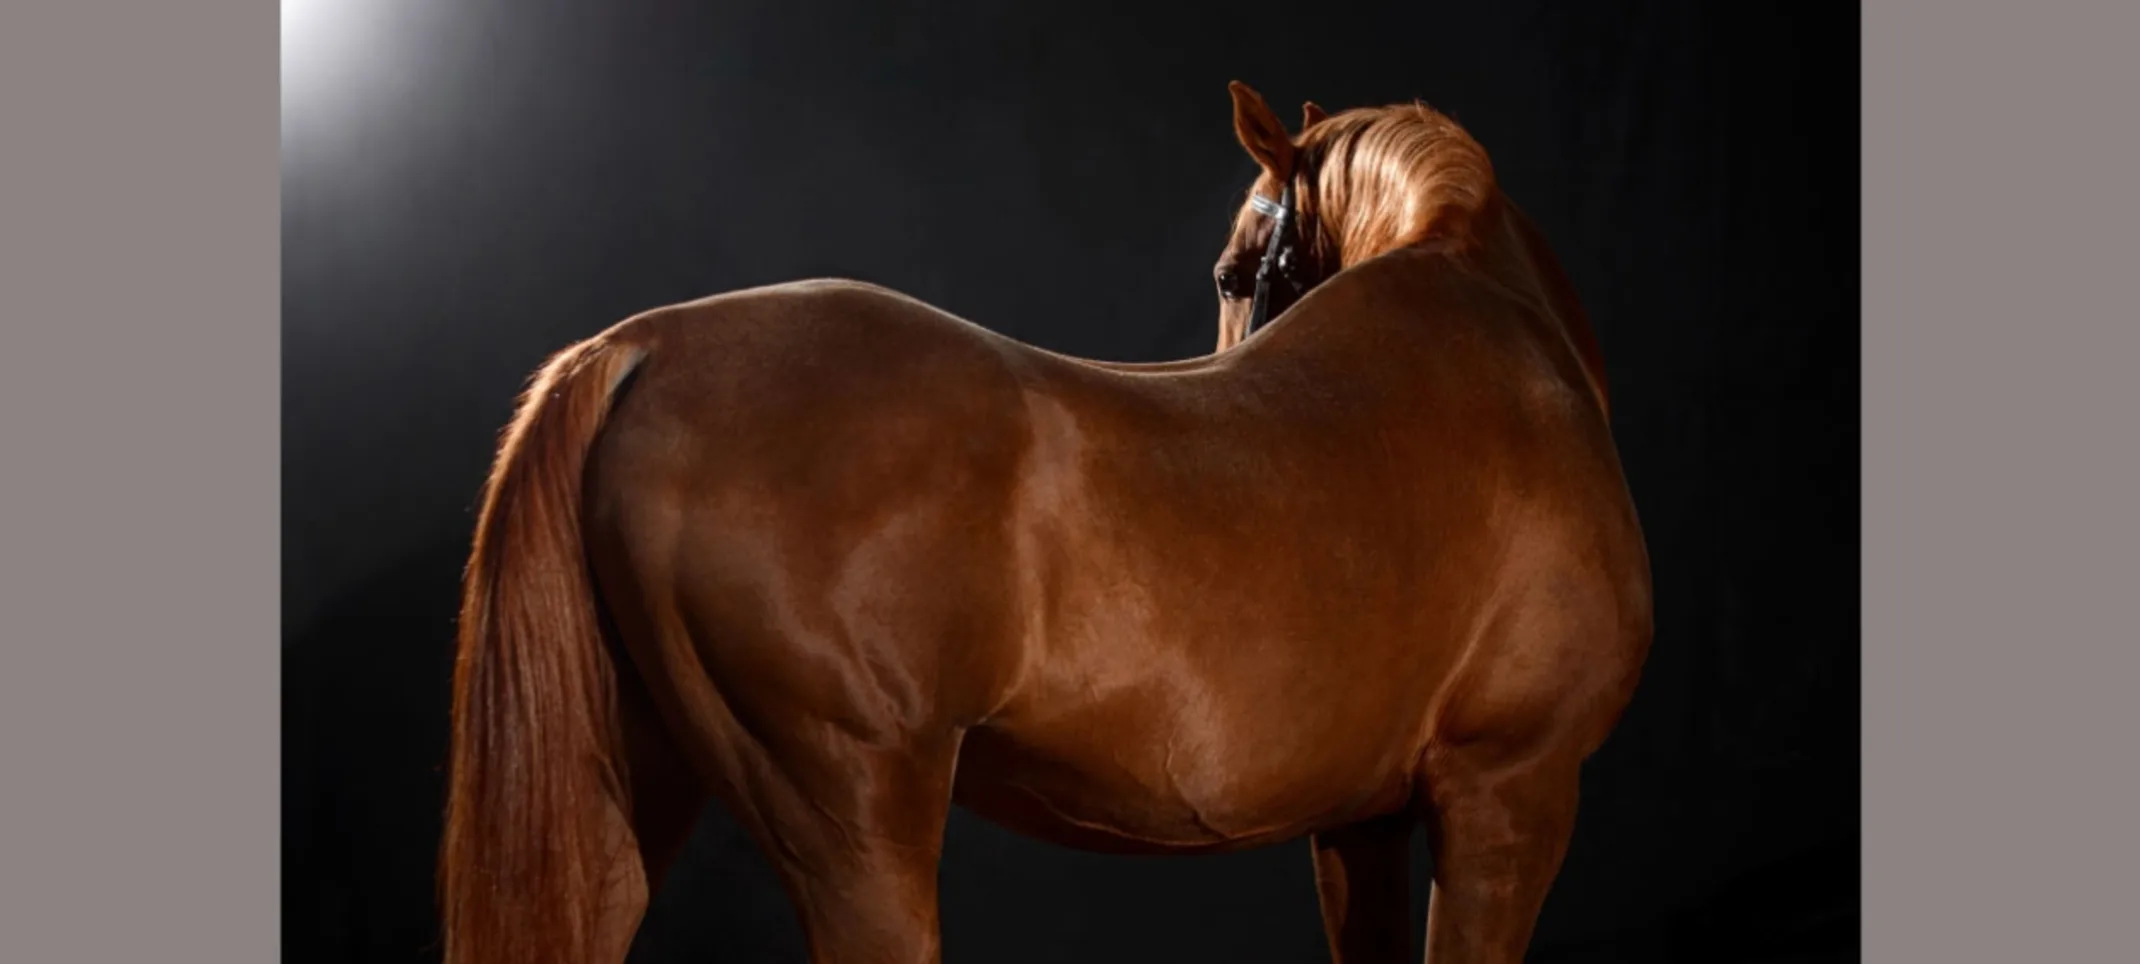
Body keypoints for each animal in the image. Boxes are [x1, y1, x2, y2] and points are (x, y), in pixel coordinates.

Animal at [438, 80, 1652, 964]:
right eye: (1229, 270)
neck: (1495, 336)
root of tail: (639, 349)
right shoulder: (1509, 795)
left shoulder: (1361, 823)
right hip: (852, 830)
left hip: (623, 806)